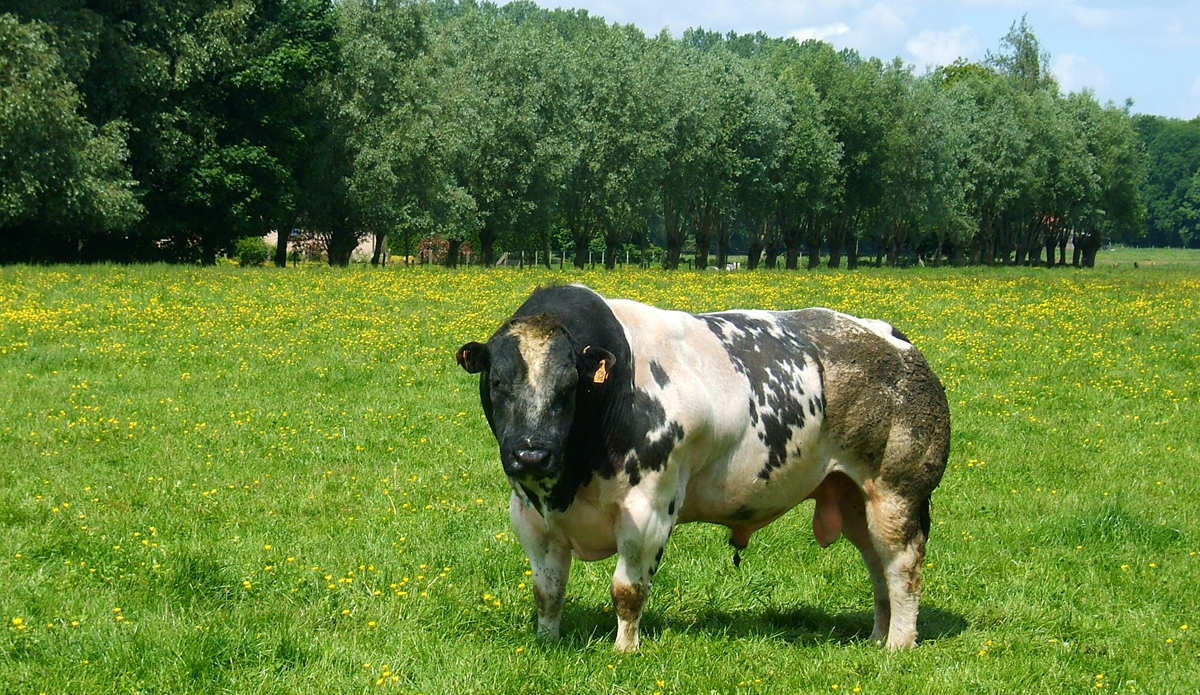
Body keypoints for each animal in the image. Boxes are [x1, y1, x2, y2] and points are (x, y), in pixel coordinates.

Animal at [455, 284, 949, 651]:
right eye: (496, 382)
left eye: (569, 385)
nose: (531, 454)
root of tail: (893, 339)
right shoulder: (530, 515)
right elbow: (548, 591)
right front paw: (547, 641)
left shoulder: (649, 510)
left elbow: (627, 591)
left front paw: (625, 649)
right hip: (853, 498)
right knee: (877, 565)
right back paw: (877, 636)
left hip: (898, 491)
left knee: (902, 566)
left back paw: (899, 644)